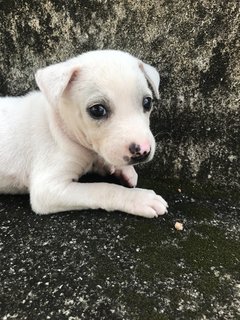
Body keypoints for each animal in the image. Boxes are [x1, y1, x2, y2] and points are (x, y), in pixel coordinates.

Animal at [0, 50, 168, 219]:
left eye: (147, 102)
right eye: (98, 110)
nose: (143, 151)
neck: (61, 125)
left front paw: (124, 171)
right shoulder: (47, 189)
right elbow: (102, 188)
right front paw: (140, 198)